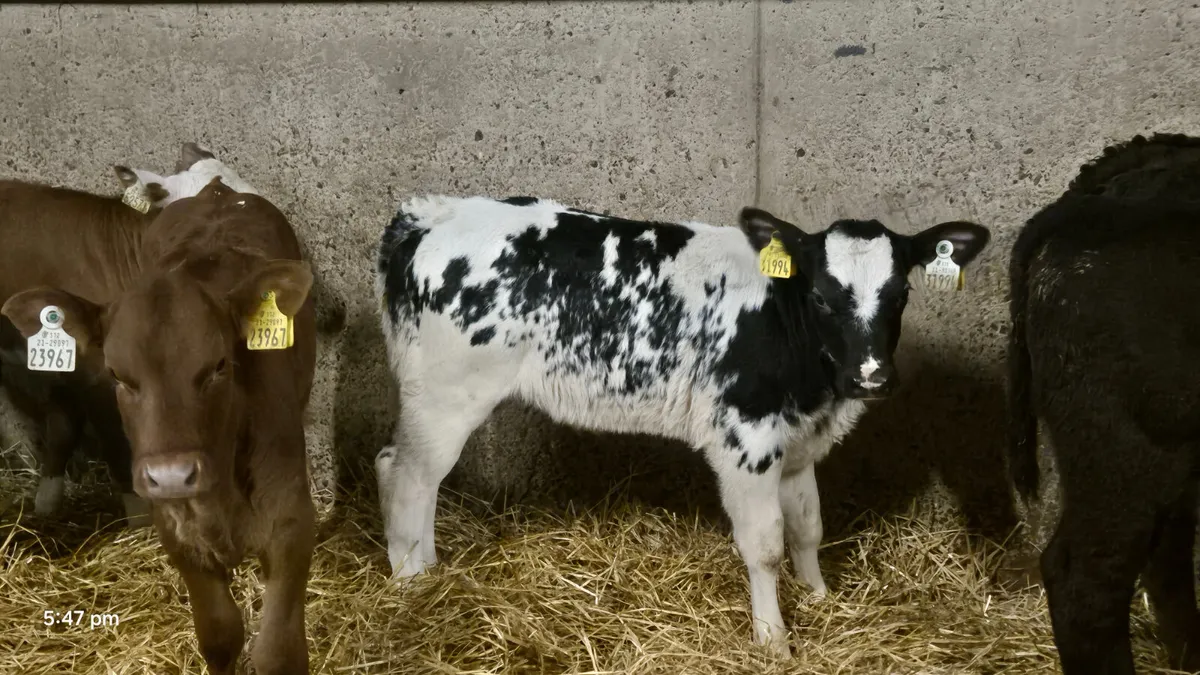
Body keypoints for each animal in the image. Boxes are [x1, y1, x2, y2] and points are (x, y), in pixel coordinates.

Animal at [374, 194, 990, 654]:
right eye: (820, 294)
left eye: (901, 292)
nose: (870, 377)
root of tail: (432, 214)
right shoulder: (746, 438)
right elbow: (765, 544)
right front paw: (774, 640)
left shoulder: (795, 443)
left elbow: (808, 527)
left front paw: (819, 598)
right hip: (448, 394)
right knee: (409, 477)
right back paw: (411, 584)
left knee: (400, 470)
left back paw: (427, 571)